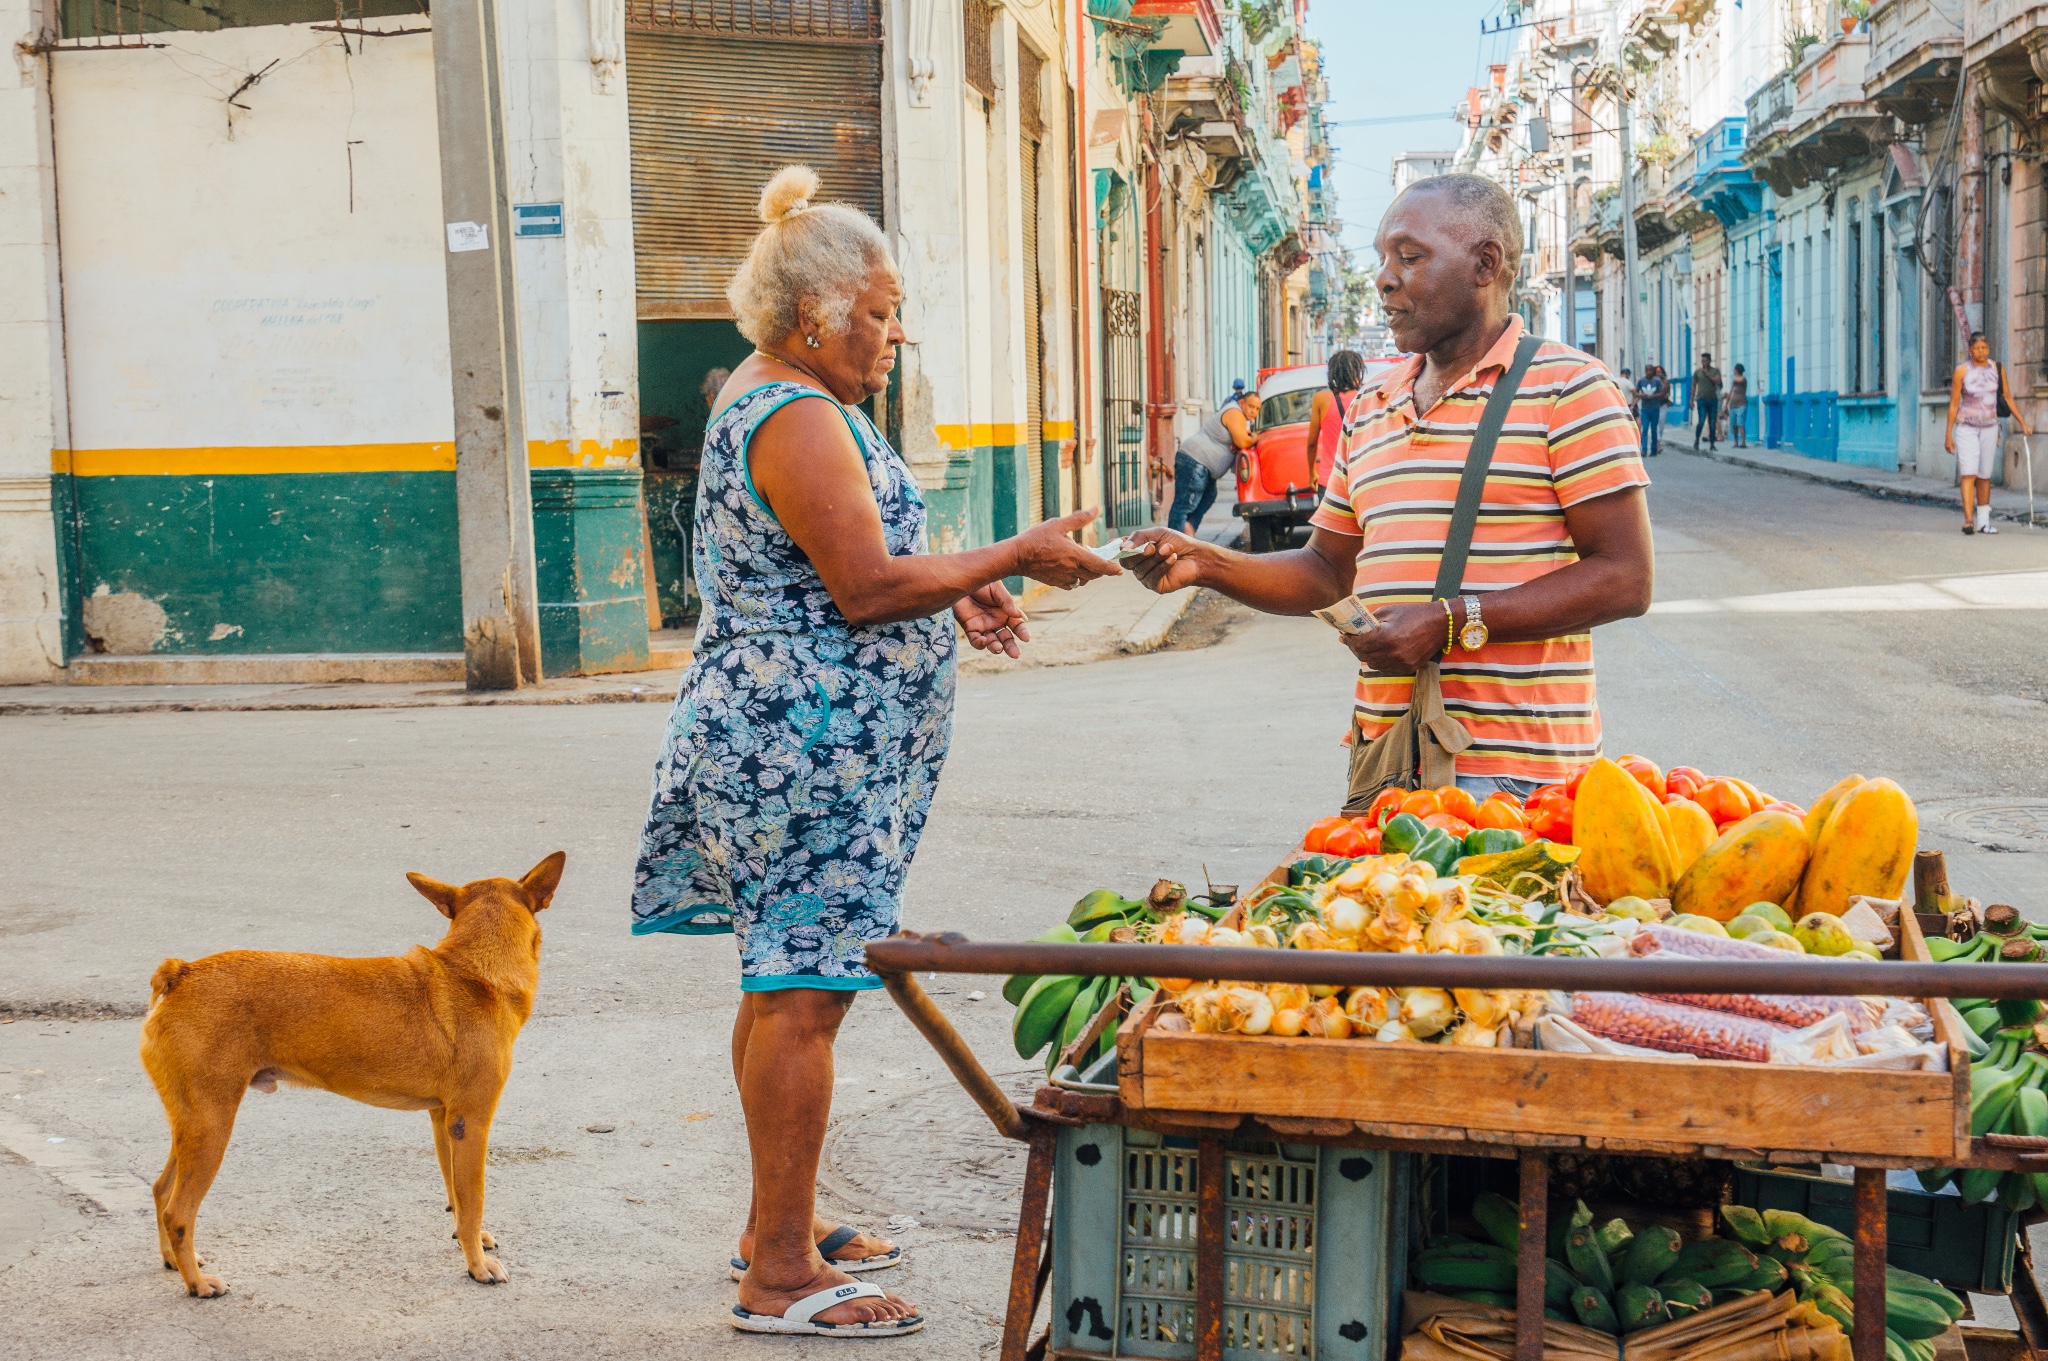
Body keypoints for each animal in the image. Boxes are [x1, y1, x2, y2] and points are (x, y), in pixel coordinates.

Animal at [138, 855, 561, 1293]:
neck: (474, 972)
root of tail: (182, 972)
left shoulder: (443, 1119)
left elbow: (457, 1196)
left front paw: (468, 1239)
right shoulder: (471, 1123)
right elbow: (473, 1199)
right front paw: (477, 1266)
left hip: (192, 1124)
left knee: (160, 1190)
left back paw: (176, 1262)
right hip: (212, 1126)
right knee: (178, 1213)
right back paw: (197, 1284)